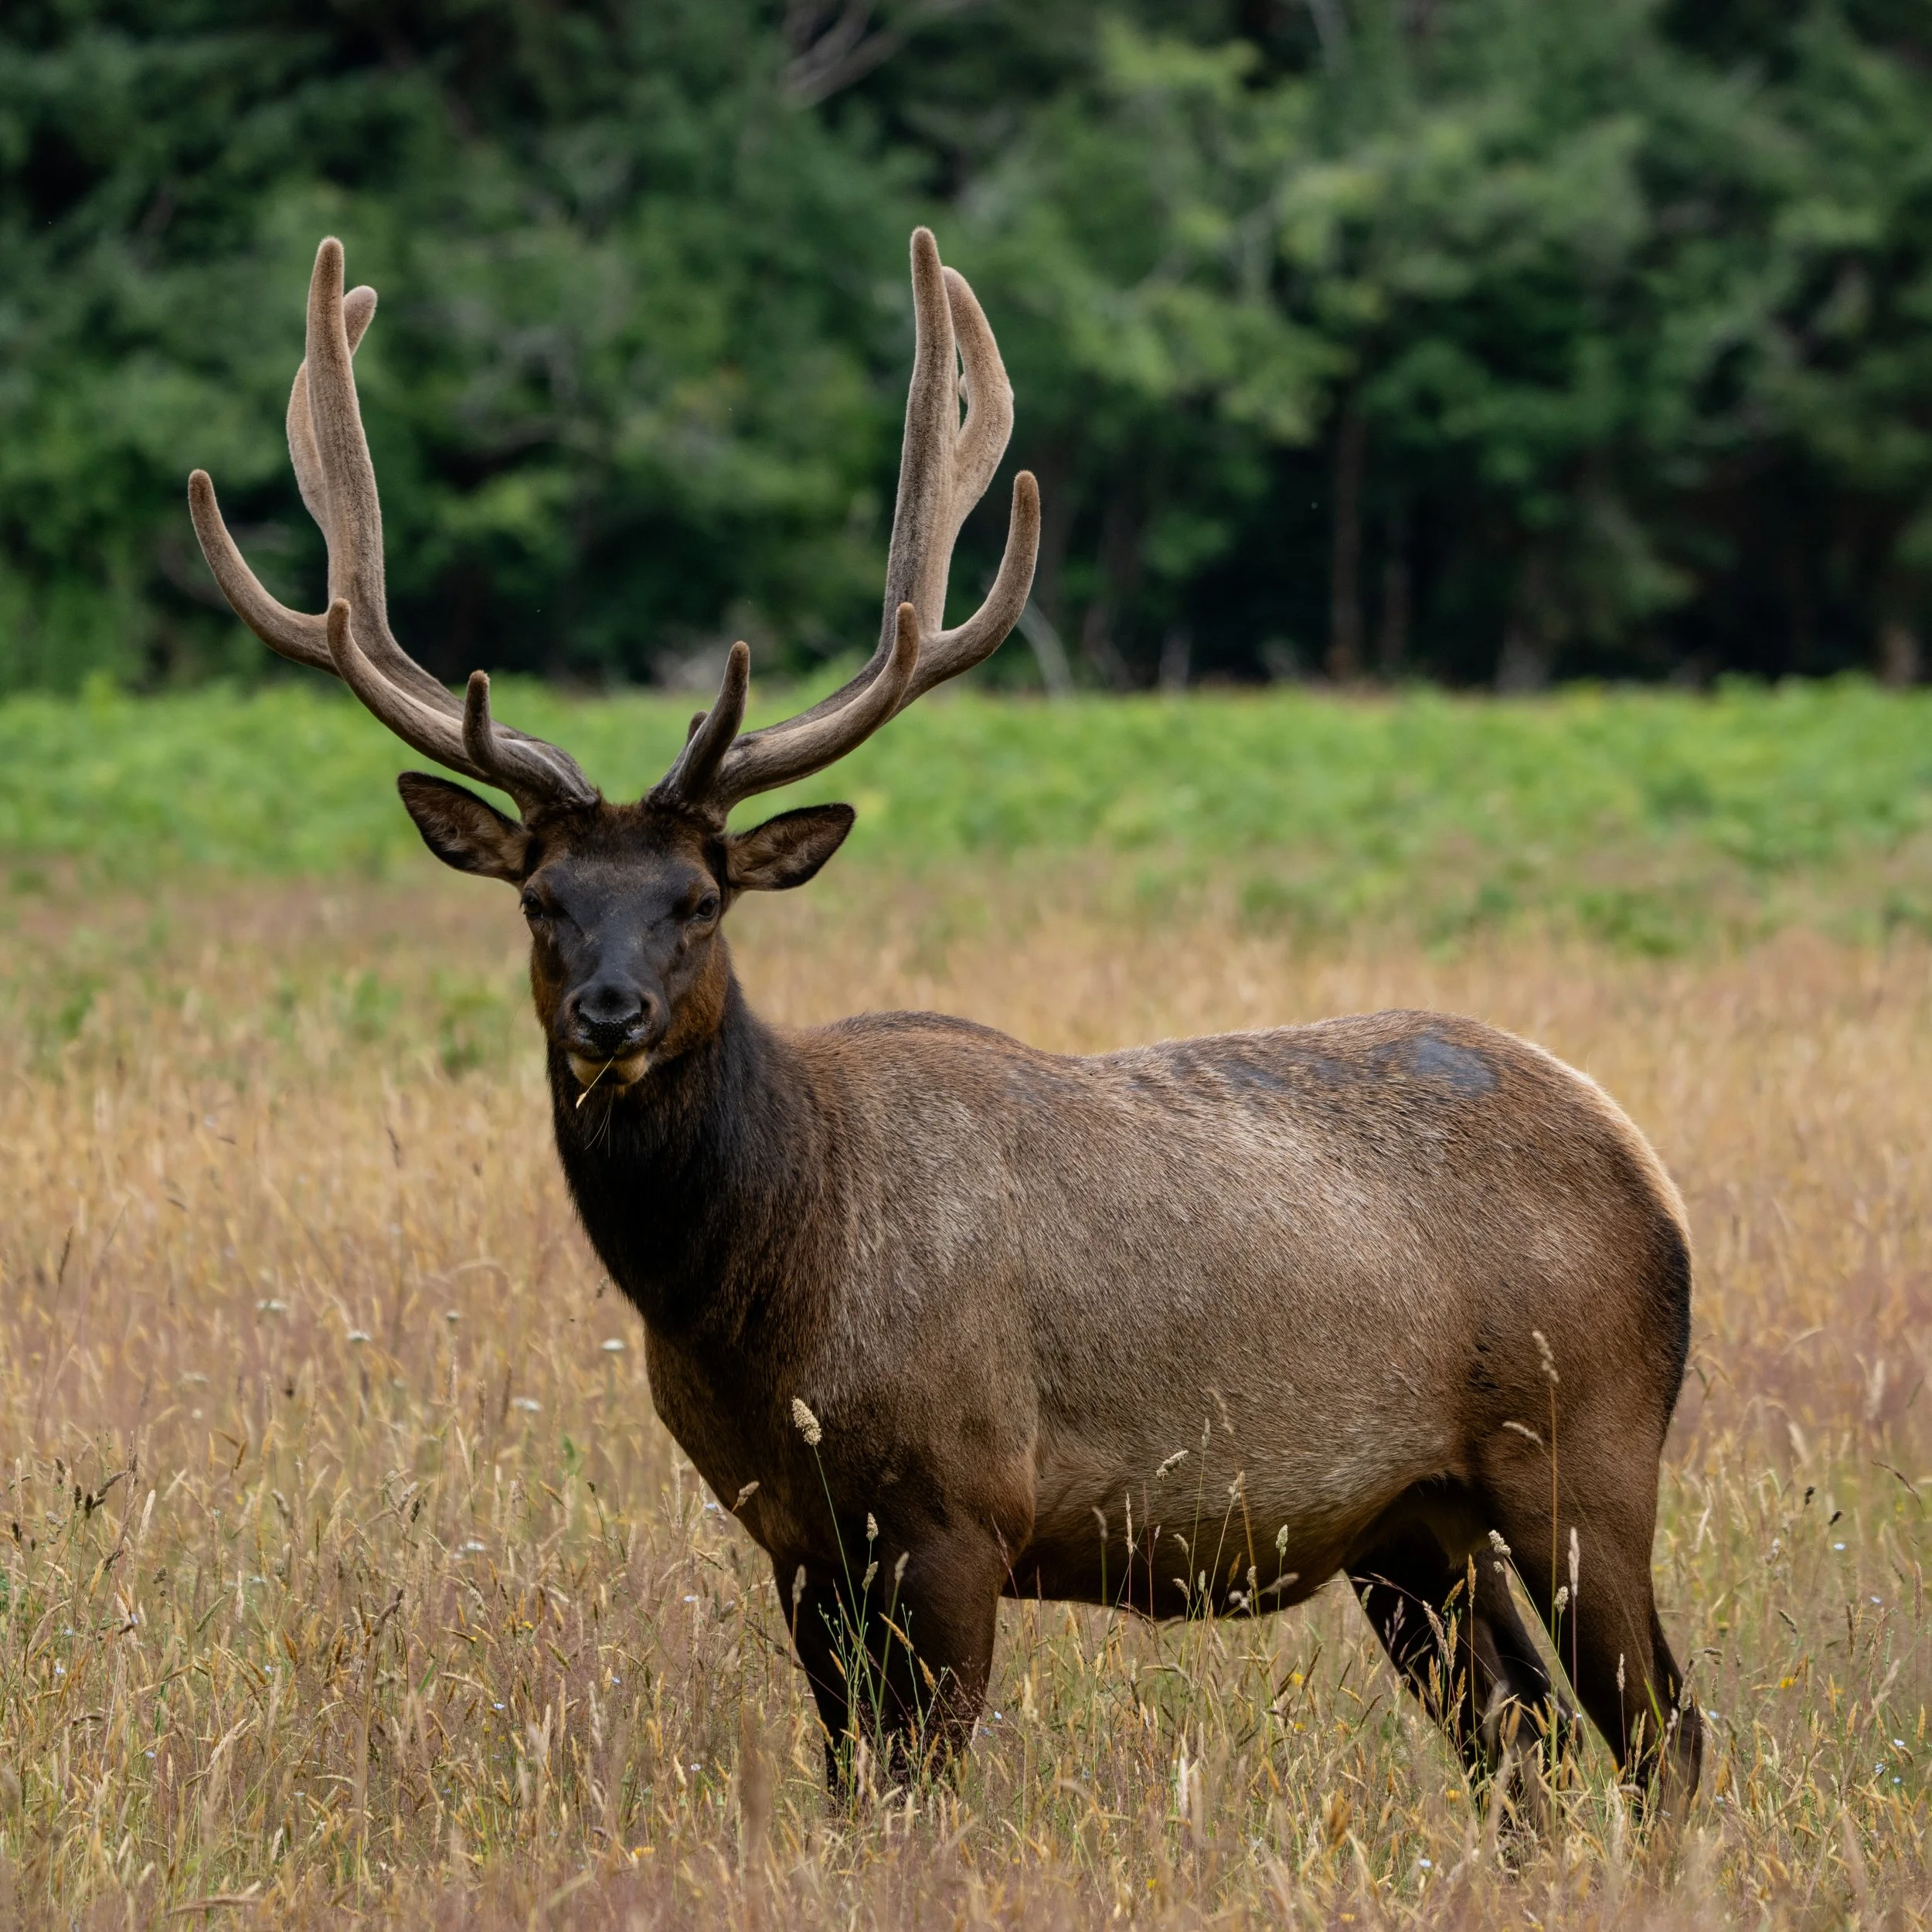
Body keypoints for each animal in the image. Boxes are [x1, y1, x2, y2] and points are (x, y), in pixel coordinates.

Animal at [188, 231, 1702, 1823]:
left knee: (1662, 1729)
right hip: (1412, 1526)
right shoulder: (796, 1537)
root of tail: (1650, 1170)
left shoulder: (959, 1507)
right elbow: (852, 1782)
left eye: (698, 900)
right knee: (1525, 1743)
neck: (768, 1290)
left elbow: (921, 1784)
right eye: (542, 898)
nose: (611, 1012)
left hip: (1586, 1450)